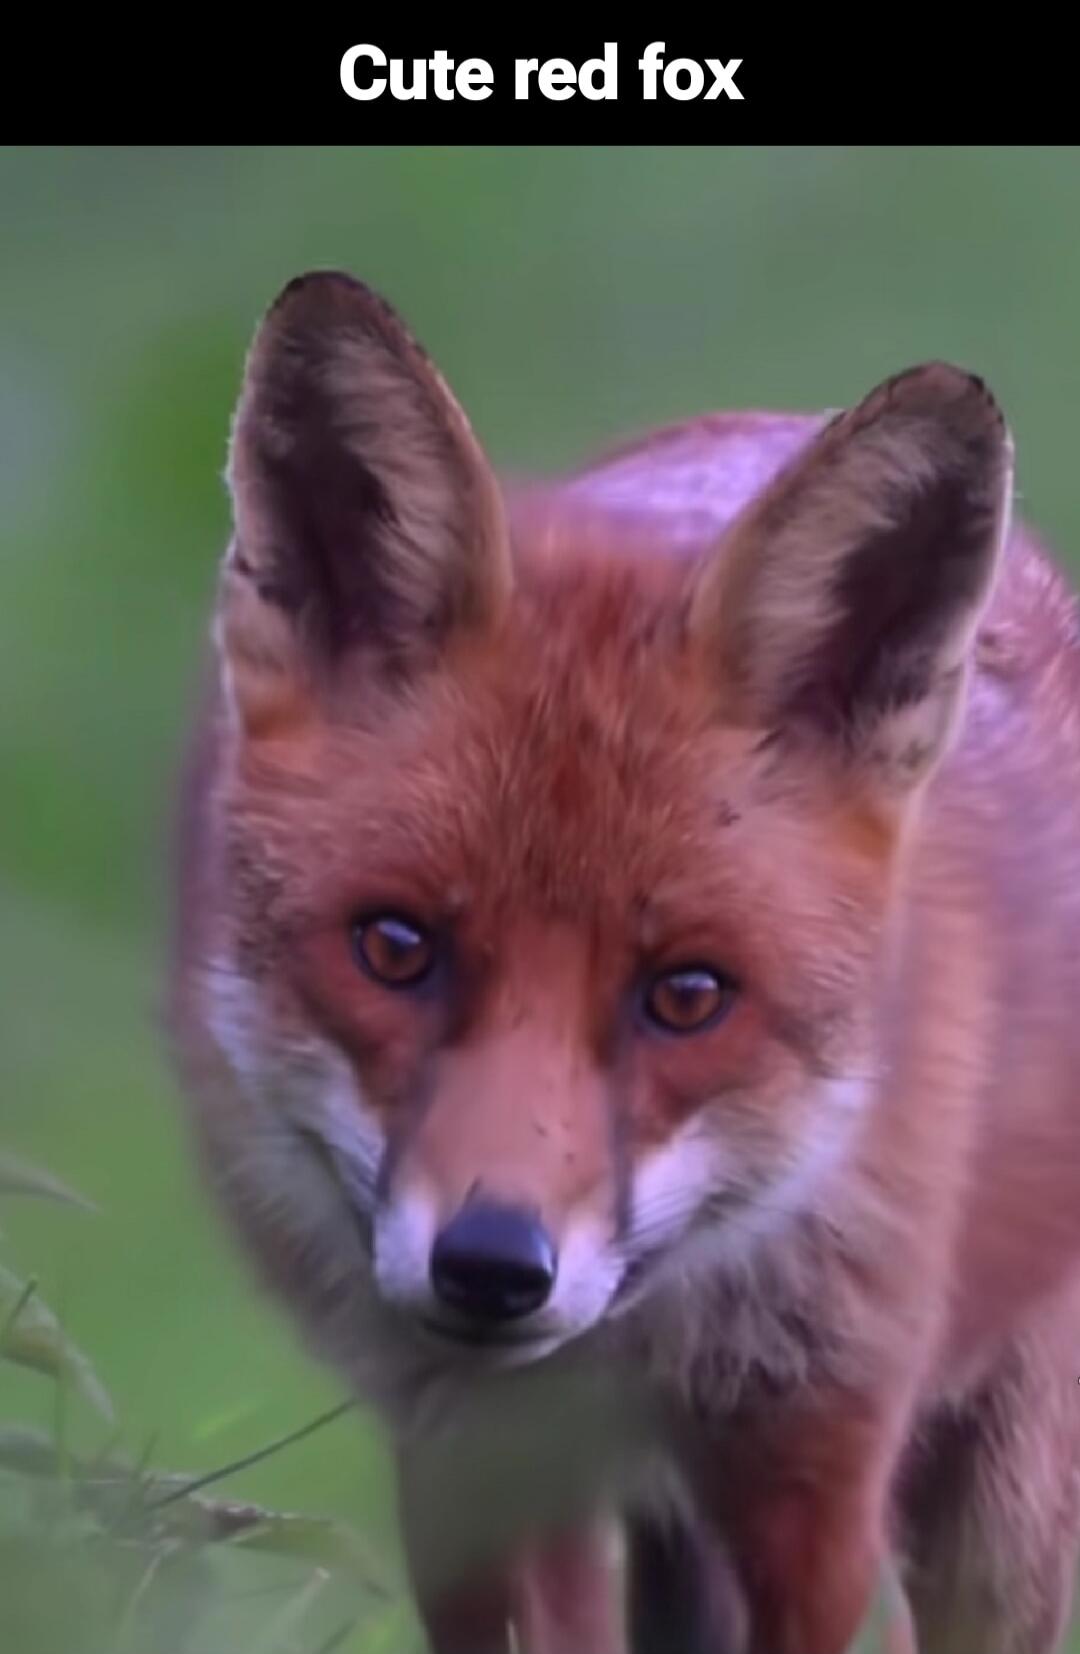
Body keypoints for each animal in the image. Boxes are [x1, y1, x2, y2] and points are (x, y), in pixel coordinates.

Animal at [169, 270, 1080, 1654]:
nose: (492, 1266)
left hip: (1000, 1500)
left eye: (688, 995)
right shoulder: (472, 1472)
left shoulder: (819, 1470)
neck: (637, 1349)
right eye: (395, 947)